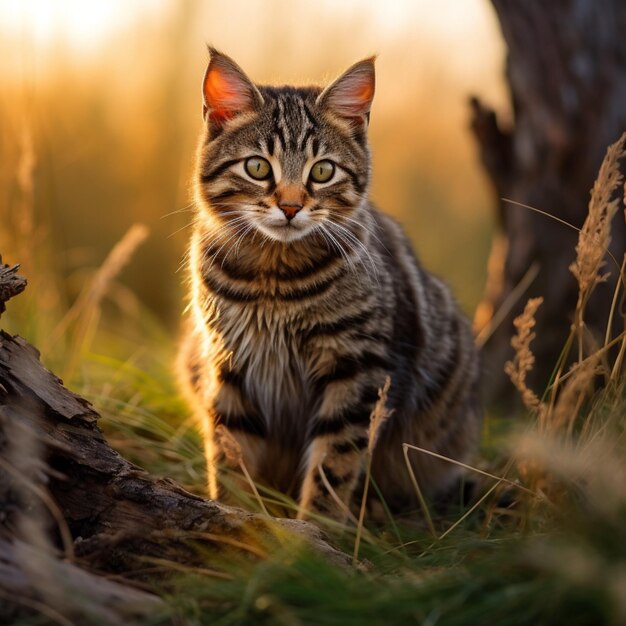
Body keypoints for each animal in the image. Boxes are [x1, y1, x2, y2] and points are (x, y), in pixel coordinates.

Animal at [178, 46, 480, 520]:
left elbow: (332, 466)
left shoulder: (357, 367)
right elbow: (230, 452)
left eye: (322, 172)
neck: (273, 280)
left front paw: (314, 529)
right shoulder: (227, 363)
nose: (289, 207)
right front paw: (235, 518)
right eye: (257, 166)